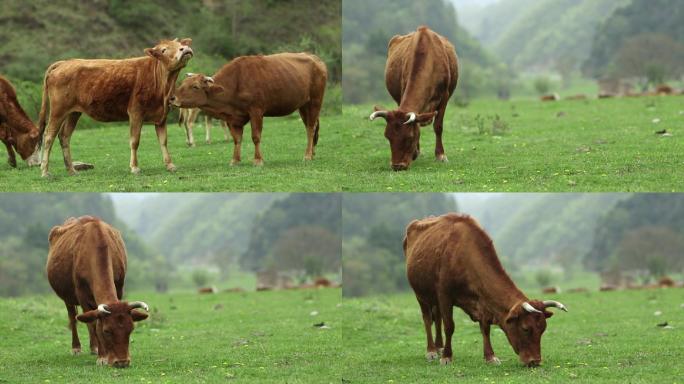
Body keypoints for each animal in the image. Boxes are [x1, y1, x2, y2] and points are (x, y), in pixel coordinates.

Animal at [38, 39, 192, 177]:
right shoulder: (135, 112)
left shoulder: (161, 116)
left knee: (64, 136)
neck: (163, 87)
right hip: (58, 110)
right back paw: (45, 171)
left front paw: (170, 165)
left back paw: (71, 170)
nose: (184, 49)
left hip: (73, 112)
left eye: (180, 44)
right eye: (164, 50)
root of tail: (64, 63)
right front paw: (134, 167)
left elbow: (163, 141)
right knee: (49, 136)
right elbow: (135, 141)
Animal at [46, 218, 151, 368]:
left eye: (131, 329)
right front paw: (102, 357)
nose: (122, 362)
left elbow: (94, 321)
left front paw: (101, 353)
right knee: (73, 318)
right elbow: (94, 324)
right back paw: (77, 347)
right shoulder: (82, 295)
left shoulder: (119, 288)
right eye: (106, 331)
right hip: (67, 296)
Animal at [168, 51, 326, 166]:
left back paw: (307, 155)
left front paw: (258, 160)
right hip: (303, 106)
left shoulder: (256, 111)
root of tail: (315, 59)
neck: (235, 83)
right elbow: (237, 139)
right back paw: (312, 153)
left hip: (315, 102)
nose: (172, 98)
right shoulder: (233, 118)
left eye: (195, 86)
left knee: (310, 129)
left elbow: (255, 137)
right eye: (183, 83)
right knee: (311, 127)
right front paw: (235, 160)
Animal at [368, 26, 460, 170]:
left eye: (409, 138)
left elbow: (438, 126)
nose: (397, 166)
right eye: (387, 137)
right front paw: (415, 152)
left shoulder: (444, 96)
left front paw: (440, 155)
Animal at [404, 214, 568, 368]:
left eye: (543, 329)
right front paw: (447, 357)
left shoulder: (481, 300)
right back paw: (432, 350)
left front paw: (490, 357)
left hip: (434, 298)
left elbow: (485, 328)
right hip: (420, 293)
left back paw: (439, 347)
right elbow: (449, 326)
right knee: (427, 319)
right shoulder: (444, 294)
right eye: (525, 328)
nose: (535, 361)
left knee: (437, 317)